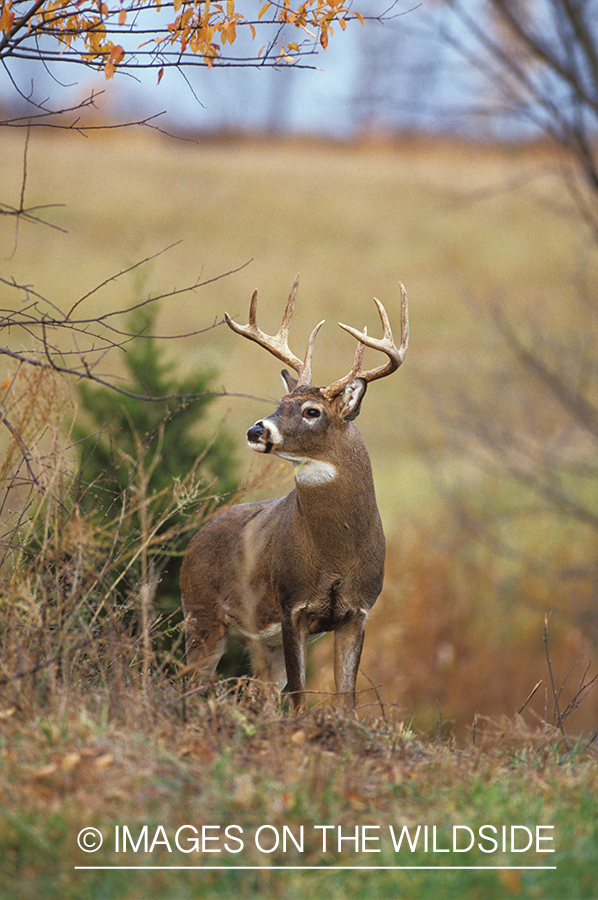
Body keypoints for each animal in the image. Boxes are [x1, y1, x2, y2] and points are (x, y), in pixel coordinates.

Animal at [180, 275, 408, 715]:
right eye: (279, 403)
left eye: (311, 411)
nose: (256, 430)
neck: (336, 553)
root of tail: (196, 537)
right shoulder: (291, 605)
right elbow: (301, 698)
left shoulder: (359, 611)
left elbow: (345, 699)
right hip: (200, 614)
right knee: (191, 685)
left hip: (257, 643)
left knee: (259, 693)